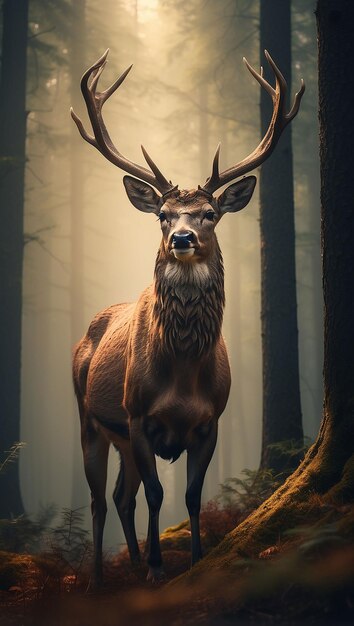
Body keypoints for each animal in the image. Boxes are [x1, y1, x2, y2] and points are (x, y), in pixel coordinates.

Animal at [70, 48, 302, 584]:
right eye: (162, 215)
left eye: (210, 214)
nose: (181, 238)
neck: (180, 375)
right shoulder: (136, 415)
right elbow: (159, 495)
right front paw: (158, 569)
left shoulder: (211, 420)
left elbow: (193, 496)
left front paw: (193, 561)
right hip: (89, 418)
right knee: (99, 499)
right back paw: (99, 578)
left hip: (118, 437)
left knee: (121, 496)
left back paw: (131, 564)